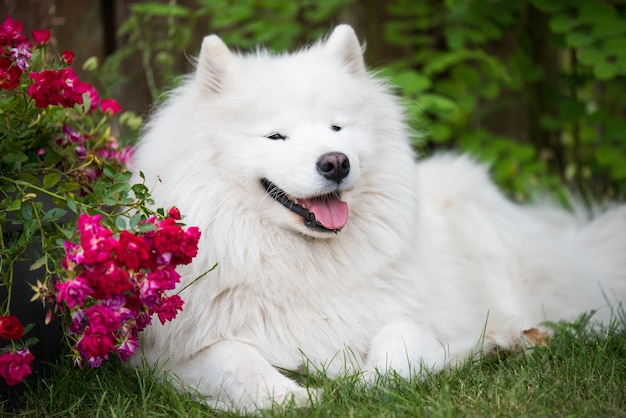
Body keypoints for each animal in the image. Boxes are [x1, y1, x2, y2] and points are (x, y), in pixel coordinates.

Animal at [129, 23, 620, 412]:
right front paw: (293, 397)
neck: (304, 264)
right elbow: (239, 361)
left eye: (337, 127)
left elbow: (398, 343)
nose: (335, 162)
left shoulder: (414, 316)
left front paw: (368, 383)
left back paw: (512, 338)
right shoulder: (170, 355)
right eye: (275, 135)